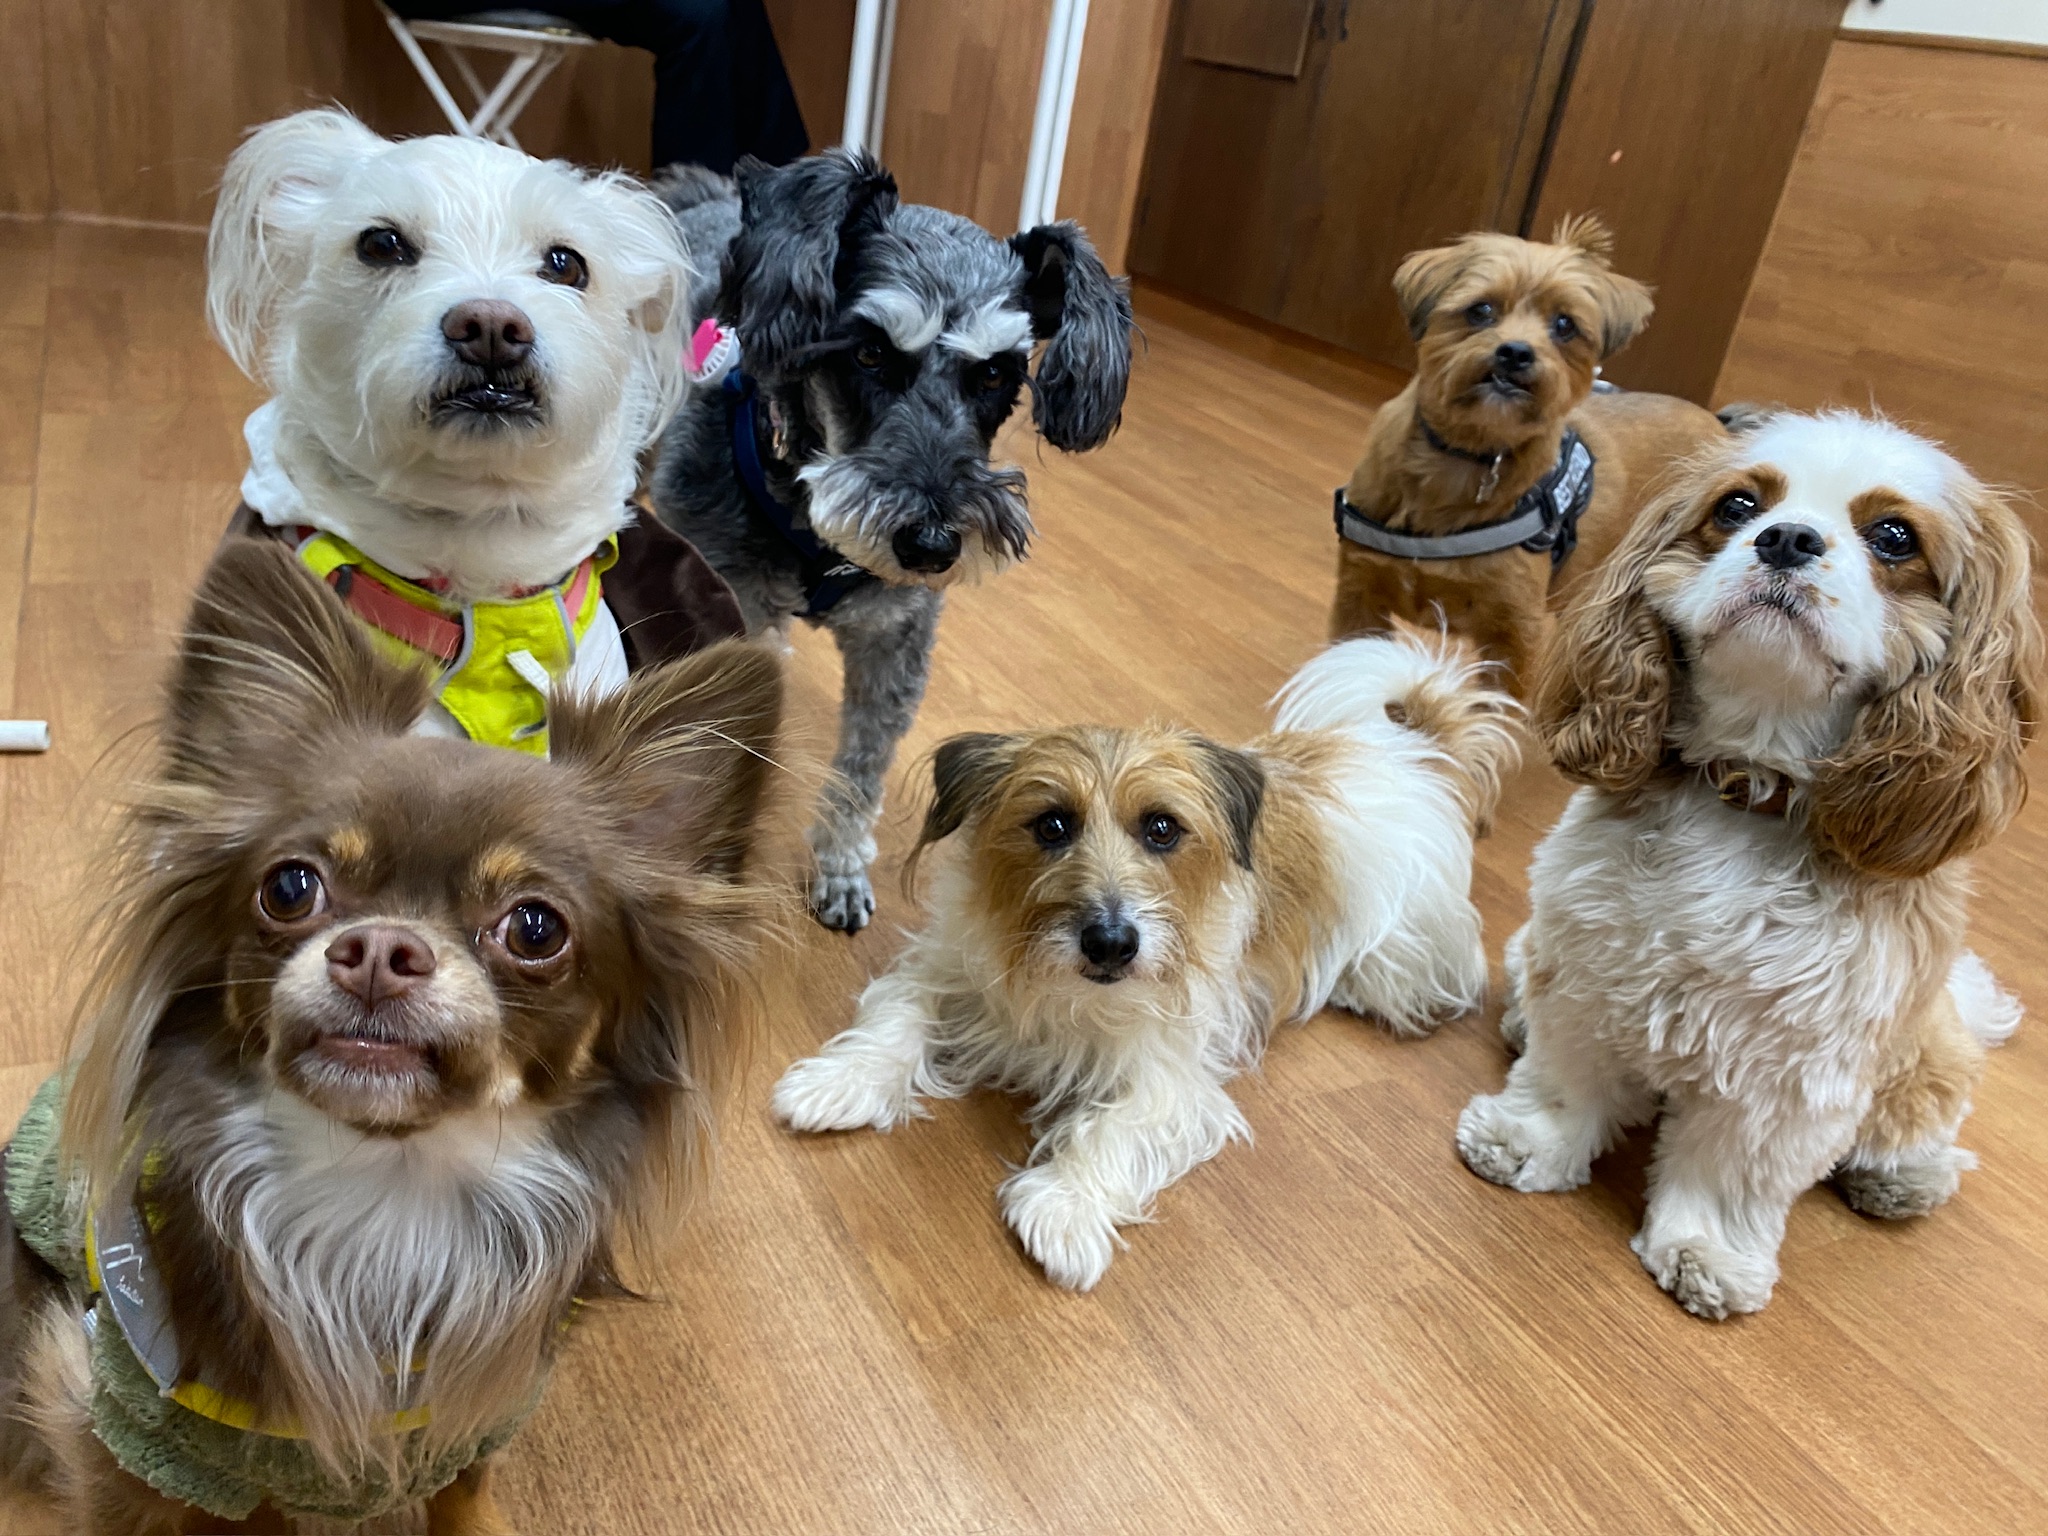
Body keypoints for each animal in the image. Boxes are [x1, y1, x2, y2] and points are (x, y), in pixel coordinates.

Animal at [0, 542, 781, 1531]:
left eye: (536, 928)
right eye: (290, 887)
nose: (379, 949)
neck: (388, 1196)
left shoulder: (461, 1432)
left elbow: (462, 1503)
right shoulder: (132, 1431)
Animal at [652, 150, 1135, 931]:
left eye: (995, 373)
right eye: (871, 353)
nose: (932, 545)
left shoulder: (895, 643)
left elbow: (862, 767)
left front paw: (841, 867)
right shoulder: (736, 602)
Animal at [772, 628, 1519, 1290]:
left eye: (1162, 828)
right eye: (1052, 824)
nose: (1111, 942)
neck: (1062, 992)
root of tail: (1406, 748)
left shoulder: (1170, 1074)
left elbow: (1117, 1128)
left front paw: (1064, 1208)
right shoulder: (950, 968)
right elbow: (895, 1020)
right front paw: (837, 1083)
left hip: (1413, 963)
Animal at [1329, 216, 1725, 693]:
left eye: (1564, 325)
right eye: (1481, 310)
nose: (1516, 352)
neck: (1465, 457)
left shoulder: (1514, 636)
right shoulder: (1359, 598)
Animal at [1456, 411, 2043, 1319]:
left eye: (1894, 535)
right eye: (1737, 506)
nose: (1788, 538)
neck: (1744, 789)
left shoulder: (1795, 1065)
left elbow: (1732, 1168)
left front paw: (1705, 1249)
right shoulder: (1587, 966)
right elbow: (1566, 1075)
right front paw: (1526, 1140)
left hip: (1928, 1048)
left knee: (1923, 1115)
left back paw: (1906, 1176)